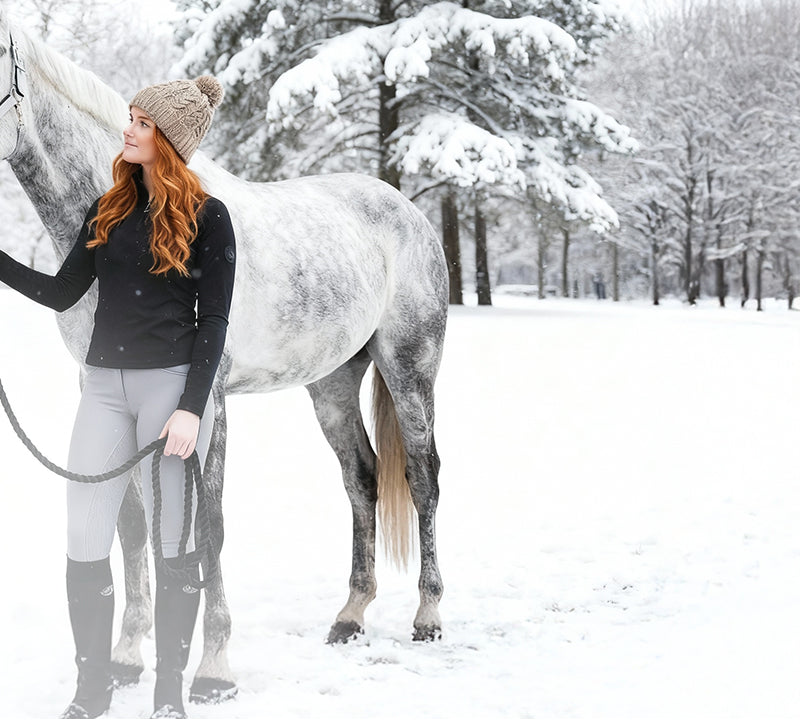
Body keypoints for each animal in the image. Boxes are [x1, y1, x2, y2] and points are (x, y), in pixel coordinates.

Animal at [0, 7, 447, 703]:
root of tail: (407, 210)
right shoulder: (100, 387)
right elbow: (133, 526)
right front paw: (127, 658)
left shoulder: (203, 399)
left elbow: (206, 527)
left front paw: (213, 670)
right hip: (332, 384)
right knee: (363, 478)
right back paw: (349, 617)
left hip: (410, 366)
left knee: (423, 480)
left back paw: (427, 616)